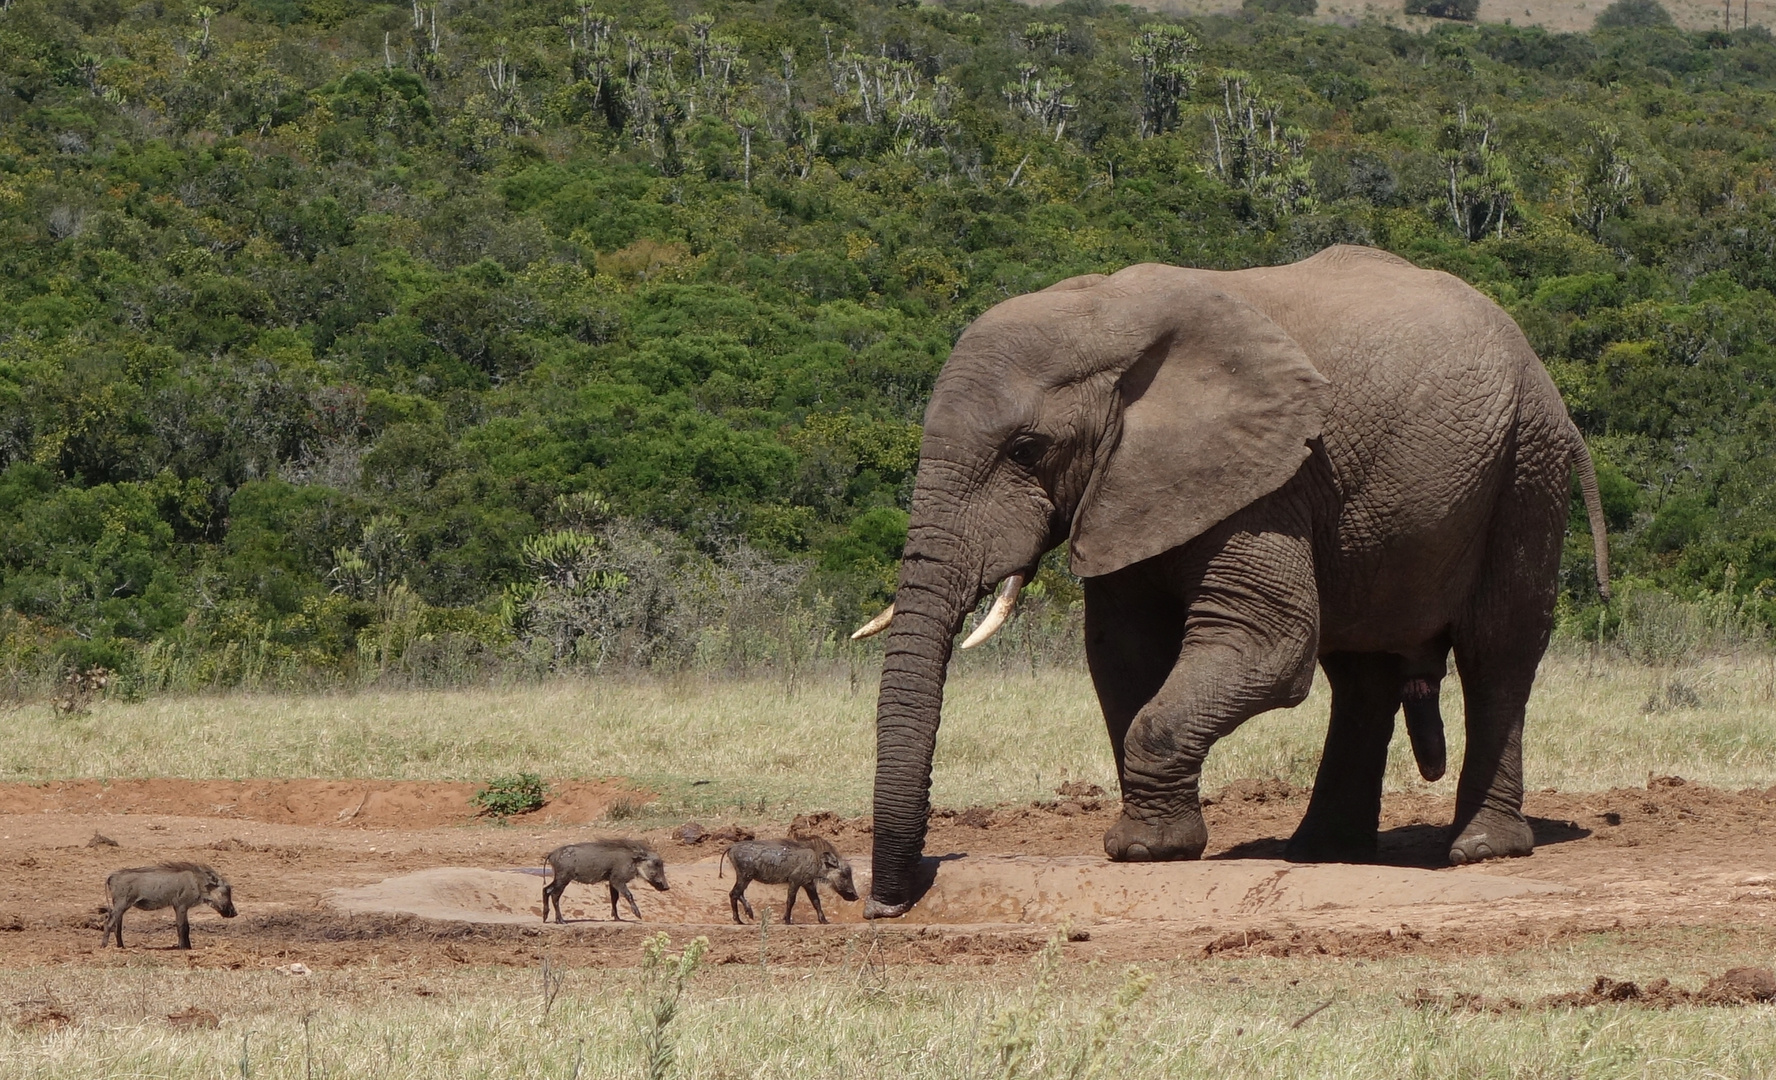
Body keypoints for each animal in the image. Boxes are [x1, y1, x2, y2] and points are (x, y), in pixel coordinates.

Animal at [852, 246, 1619, 916]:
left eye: (1025, 450)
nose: (886, 904)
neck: (1105, 315)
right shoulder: (1130, 483)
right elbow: (1121, 652)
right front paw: (1155, 844)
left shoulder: (1268, 476)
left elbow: (1266, 644)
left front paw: (1143, 851)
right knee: (1362, 672)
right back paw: (1322, 852)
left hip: (1527, 464)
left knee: (1498, 651)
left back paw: (1480, 849)